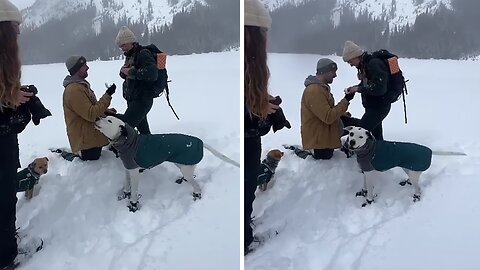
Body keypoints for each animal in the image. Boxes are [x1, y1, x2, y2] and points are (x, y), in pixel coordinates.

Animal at [94, 115, 239, 212]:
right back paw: (182, 180)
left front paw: (133, 205)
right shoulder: (127, 168)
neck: (128, 142)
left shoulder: (134, 172)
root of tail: (200, 142)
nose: (96, 118)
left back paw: (197, 195)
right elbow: (126, 184)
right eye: (105, 117)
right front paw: (125, 193)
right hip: (182, 163)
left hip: (185, 167)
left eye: (109, 120)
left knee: (196, 185)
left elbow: (134, 192)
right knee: (191, 176)